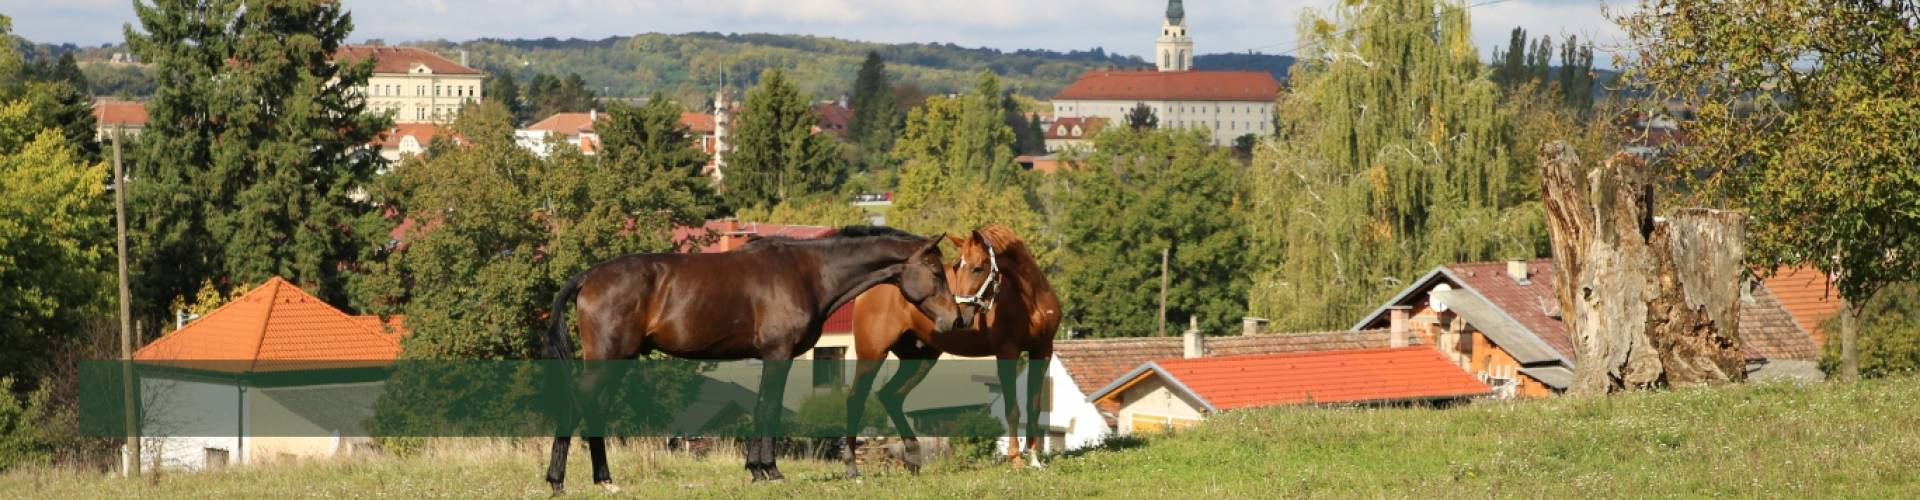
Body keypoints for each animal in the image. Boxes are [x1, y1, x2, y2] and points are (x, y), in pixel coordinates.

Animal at [541, 226, 967, 492]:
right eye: (935, 271)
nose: (957, 319)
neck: (808, 272)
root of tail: (588, 277)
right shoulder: (779, 355)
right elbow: (769, 408)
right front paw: (770, 470)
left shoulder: (770, 358)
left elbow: (763, 406)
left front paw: (755, 469)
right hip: (606, 360)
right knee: (577, 406)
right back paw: (558, 480)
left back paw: (603, 479)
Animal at [844, 225, 1067, 476]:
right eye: (957, 266)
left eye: (978, 268)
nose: (961, 316)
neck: (1029, 299)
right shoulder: (1007, 352)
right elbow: (1013, 409)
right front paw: (1016, 460)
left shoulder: (1043, 351)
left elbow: (1034, 407)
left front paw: (1034, 459)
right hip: (872, 353)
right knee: (856, 399)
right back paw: (852, 467)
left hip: (920, 358)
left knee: (891, 396)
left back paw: (913, 459)